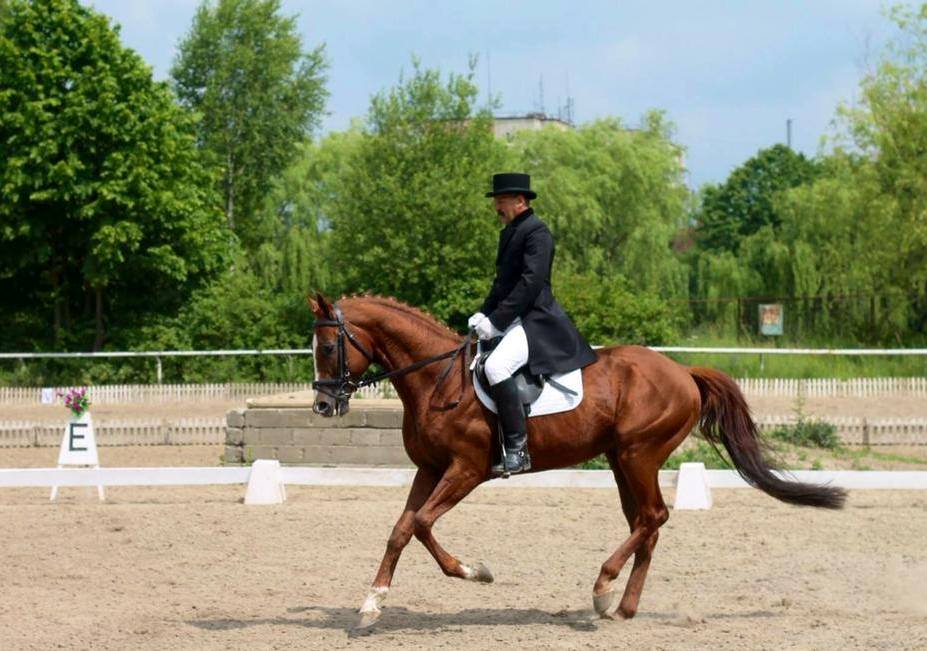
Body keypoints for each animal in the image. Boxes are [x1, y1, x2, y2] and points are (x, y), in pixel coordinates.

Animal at [308, 294, 844, 628]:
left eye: (330, 346)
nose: (322, 406)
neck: (438, 381)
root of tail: (683, 371)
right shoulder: (430, 469)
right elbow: (401, 529)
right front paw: (372, 604)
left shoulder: (466, 471)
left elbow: (420, 523)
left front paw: (475, 572)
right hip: (621, 460)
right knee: (646, 525)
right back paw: (621, 608)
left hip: (638, 454)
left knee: (653, 516)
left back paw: (603, 587)